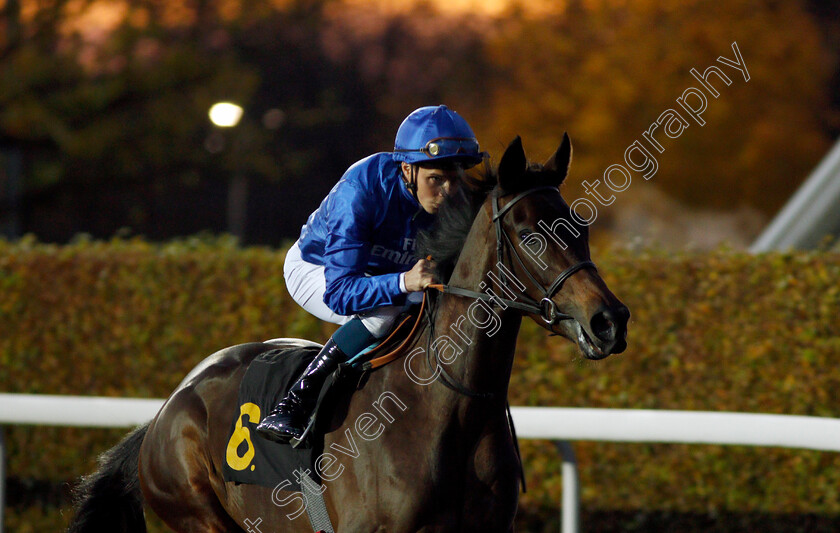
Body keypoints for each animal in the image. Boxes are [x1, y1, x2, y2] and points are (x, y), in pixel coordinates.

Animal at [69, 134, 628, 532]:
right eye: (531, 233)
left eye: (580, 226)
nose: (610, 320)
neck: (449, 408)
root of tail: (165, 410)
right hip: (197, 513)